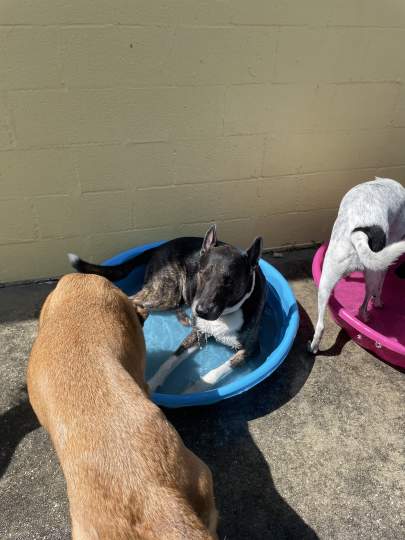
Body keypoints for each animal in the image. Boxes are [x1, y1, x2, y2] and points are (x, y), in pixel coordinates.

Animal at [308, 177, 404, 354]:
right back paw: (367, 315)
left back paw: (313, 347)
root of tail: (358, 236)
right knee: (364, 304)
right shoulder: (385, 261)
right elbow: (380, 289)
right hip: (373, 273)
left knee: (320, 325)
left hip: (326, 279)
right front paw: (378, 302)